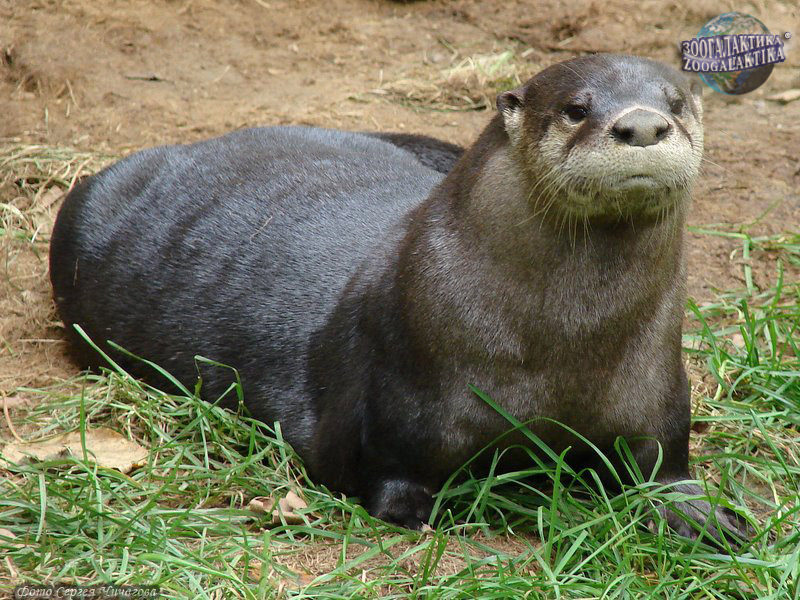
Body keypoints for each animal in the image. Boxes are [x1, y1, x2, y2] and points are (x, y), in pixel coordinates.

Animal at [50, 54, 749, 542]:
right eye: (577, 108)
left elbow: (664, 466)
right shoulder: (397, 396)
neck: (564, 352)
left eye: (677, 102)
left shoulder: (655, 394)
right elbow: (386, 474)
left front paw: (706, 517)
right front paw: (419, 513)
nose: (644, 124)